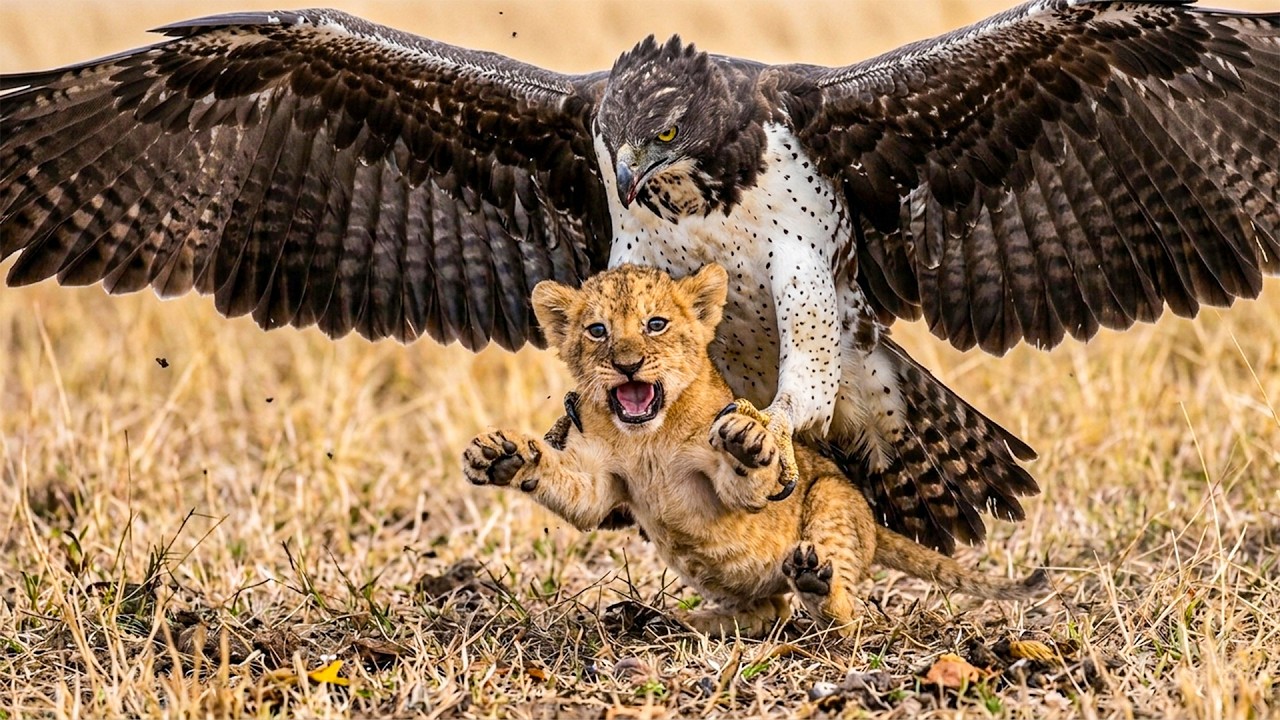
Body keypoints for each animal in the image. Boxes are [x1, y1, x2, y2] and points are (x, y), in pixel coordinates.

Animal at [463, 264, 1048, 637]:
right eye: (597, 330)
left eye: (656, 324)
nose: (628, 365)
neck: (647, 435)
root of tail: (873, 525)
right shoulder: (605, 484)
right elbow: (576, 493)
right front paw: (500, 455)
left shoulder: (736, 482)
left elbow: (746, 481)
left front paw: (747, 442)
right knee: (767, 611)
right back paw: (663, 620)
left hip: (832, 502)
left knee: (843, 615)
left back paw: (813, 584)